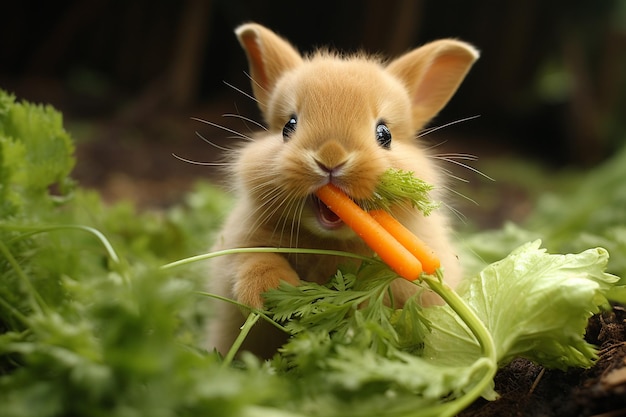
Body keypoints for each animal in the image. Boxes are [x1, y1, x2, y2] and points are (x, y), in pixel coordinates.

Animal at [206, 22, 478, 358]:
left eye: (384, 134)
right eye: (288, 127)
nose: (330, 157)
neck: (331, 240)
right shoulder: (240, 245)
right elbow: (253, 262)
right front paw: (274, 293)